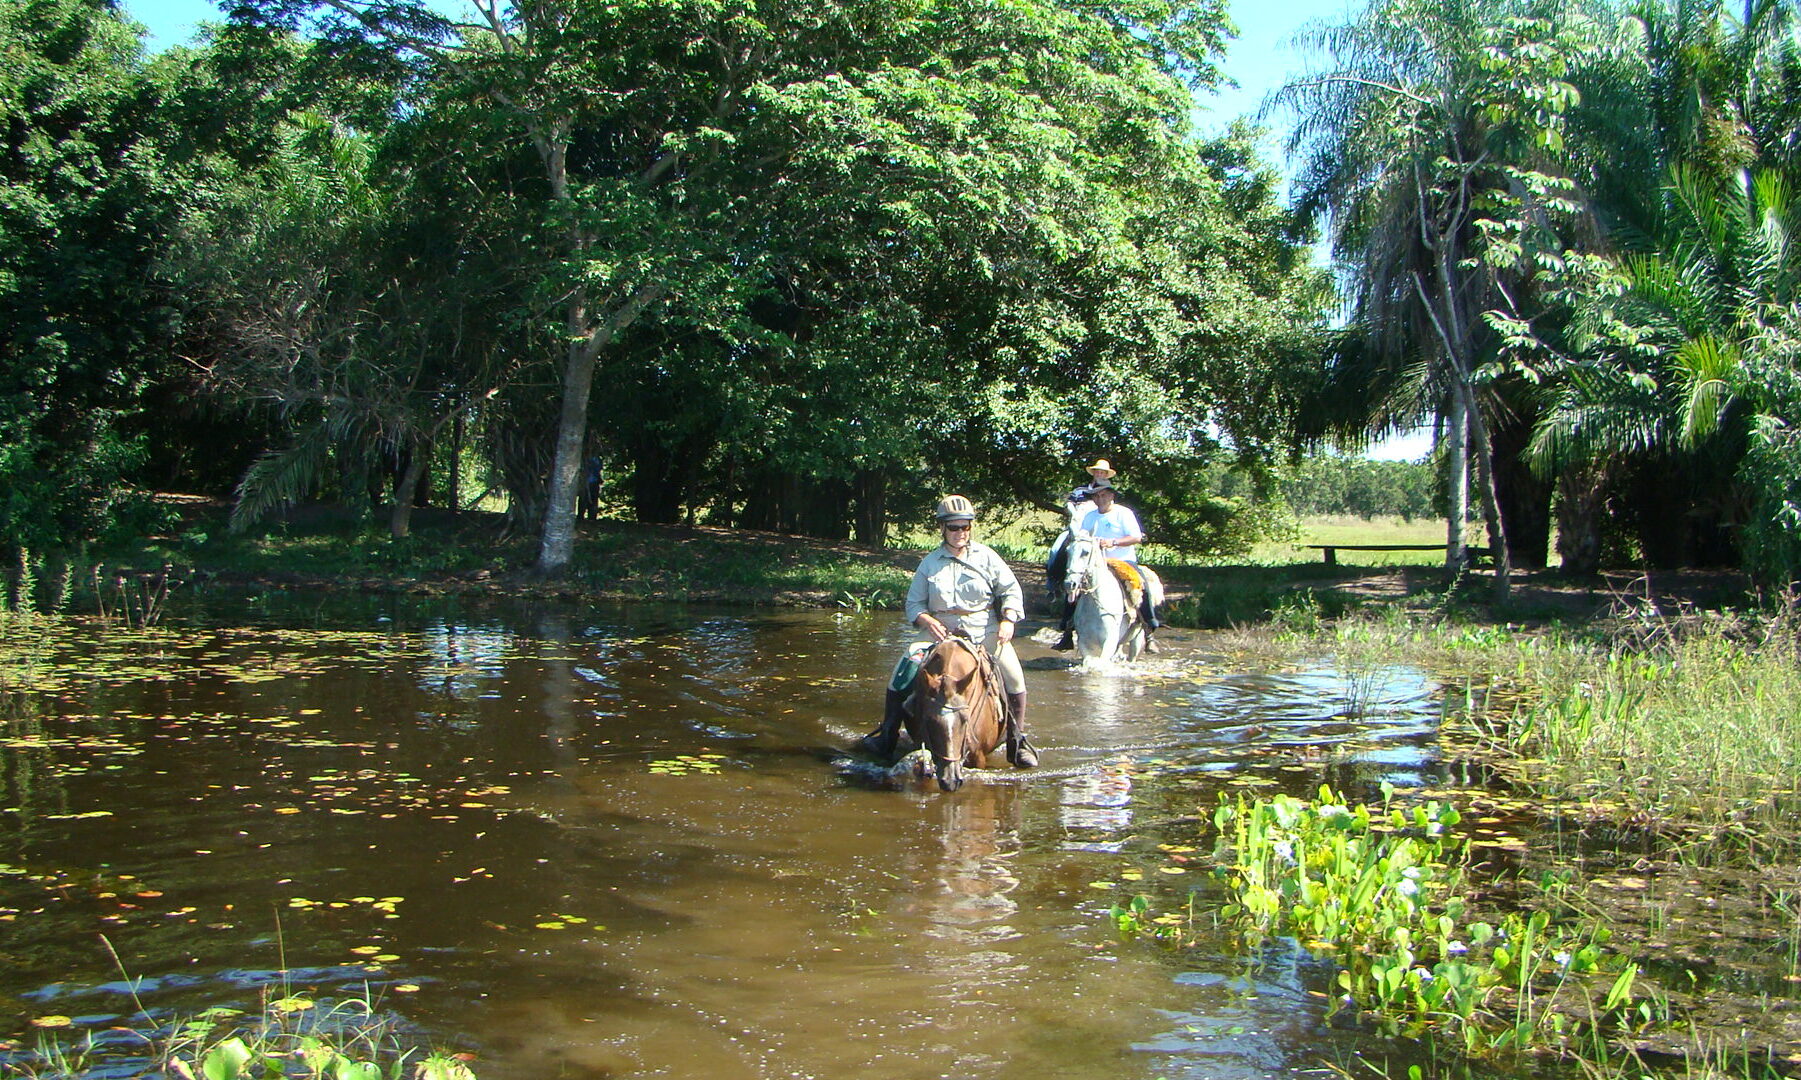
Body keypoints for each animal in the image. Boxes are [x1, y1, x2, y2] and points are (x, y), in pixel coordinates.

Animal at [1051, 532, 1167, 666]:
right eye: (1068, 551)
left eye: (1085, 552)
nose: (1069, 583)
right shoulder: (1085, 643)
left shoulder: (1109, 641)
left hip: (1137, 637)